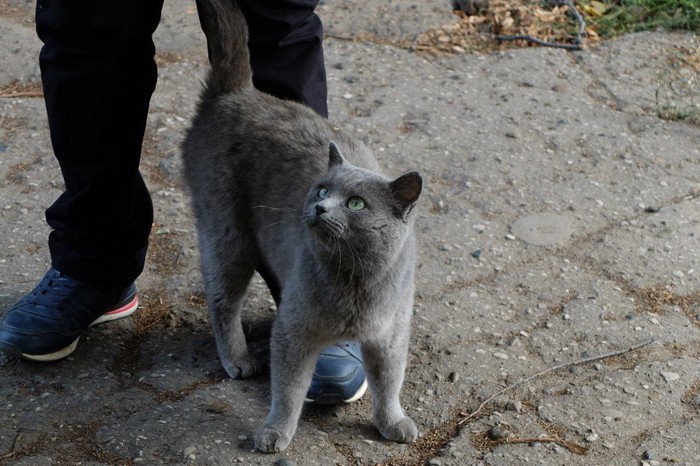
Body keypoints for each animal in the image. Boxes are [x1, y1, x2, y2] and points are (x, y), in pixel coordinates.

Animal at [182, 0, 422, 452]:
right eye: (322, 189)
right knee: (222, 300)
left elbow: (389, 382)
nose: (321, 208)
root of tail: (239, 92)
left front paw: (393, 422)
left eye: (356, 203)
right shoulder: (294, 332)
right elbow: (289, 389)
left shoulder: (390, 334)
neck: (355, 280)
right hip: (227, 233)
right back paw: (238, 359)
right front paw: (276, 432)